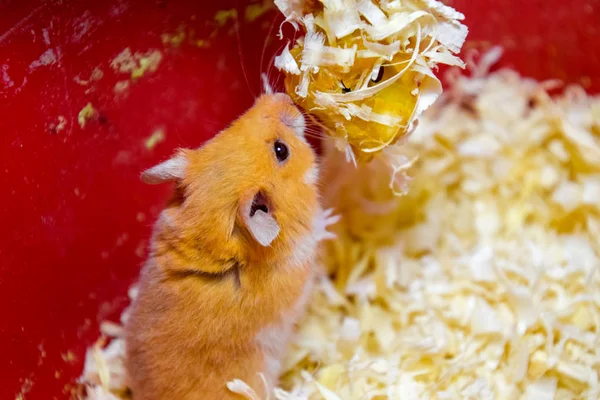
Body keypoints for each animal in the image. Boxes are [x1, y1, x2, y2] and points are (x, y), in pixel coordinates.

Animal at [124, 91, 340, 400]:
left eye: (226, 129)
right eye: (281, 150)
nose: (282, 97)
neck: (211, 234)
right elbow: (319, 228)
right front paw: (332, 219)